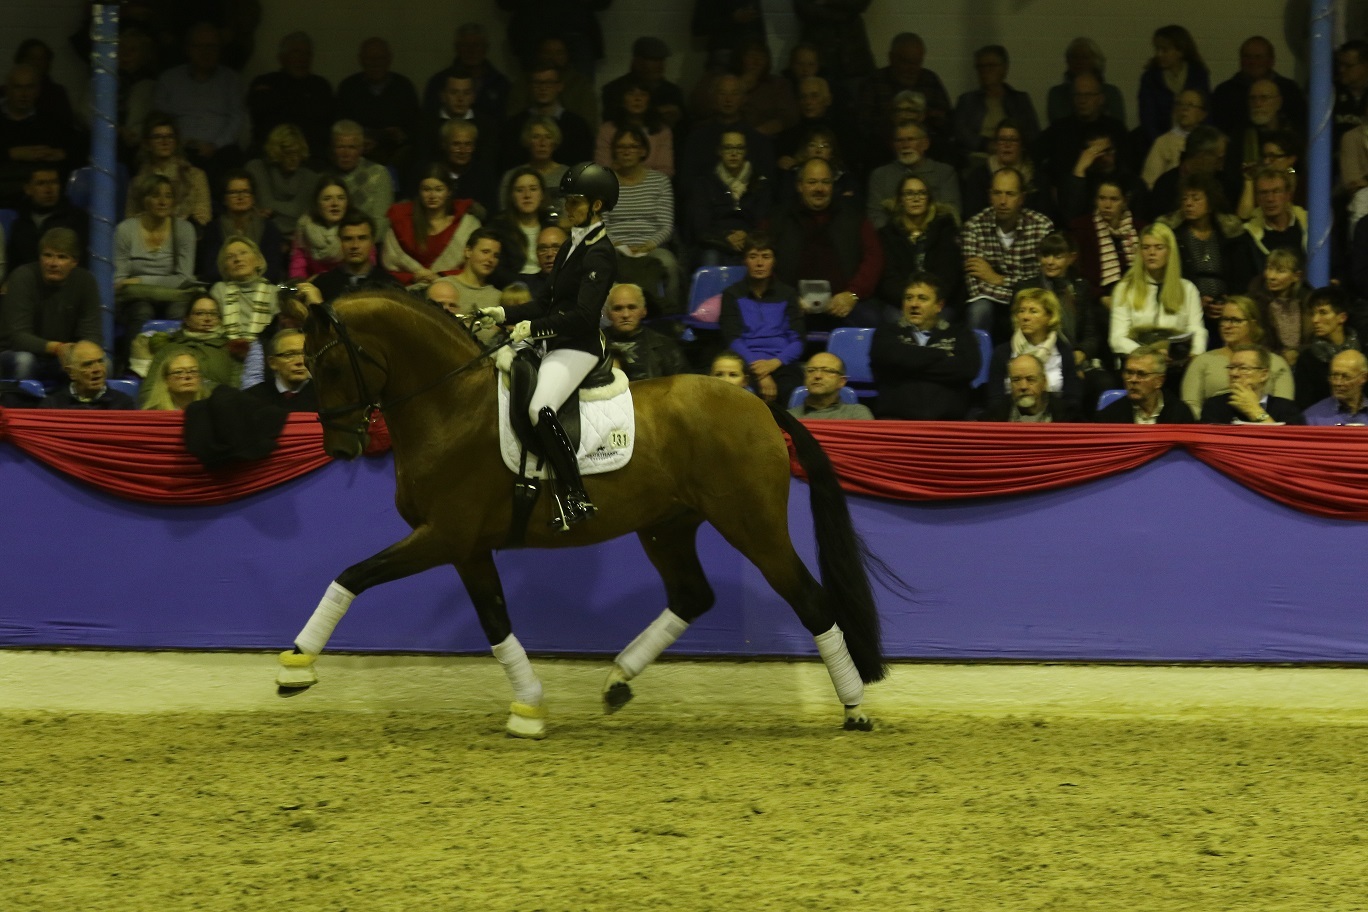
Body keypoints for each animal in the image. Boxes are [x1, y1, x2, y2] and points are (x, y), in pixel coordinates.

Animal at [274, 290, 888, 738]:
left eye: (331, 366)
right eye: (305, 366)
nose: (340, 448)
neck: (450, 405)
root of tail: (759, 404)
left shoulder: (443, 535)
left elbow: (353, 575)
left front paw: (295, 666)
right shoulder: (467, 548)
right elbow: (496, 623)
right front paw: (529, 708)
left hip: (752, 525)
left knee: (810, 600)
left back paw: (855, 708)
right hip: (667, 527)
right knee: (692, 595)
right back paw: (618, 679)